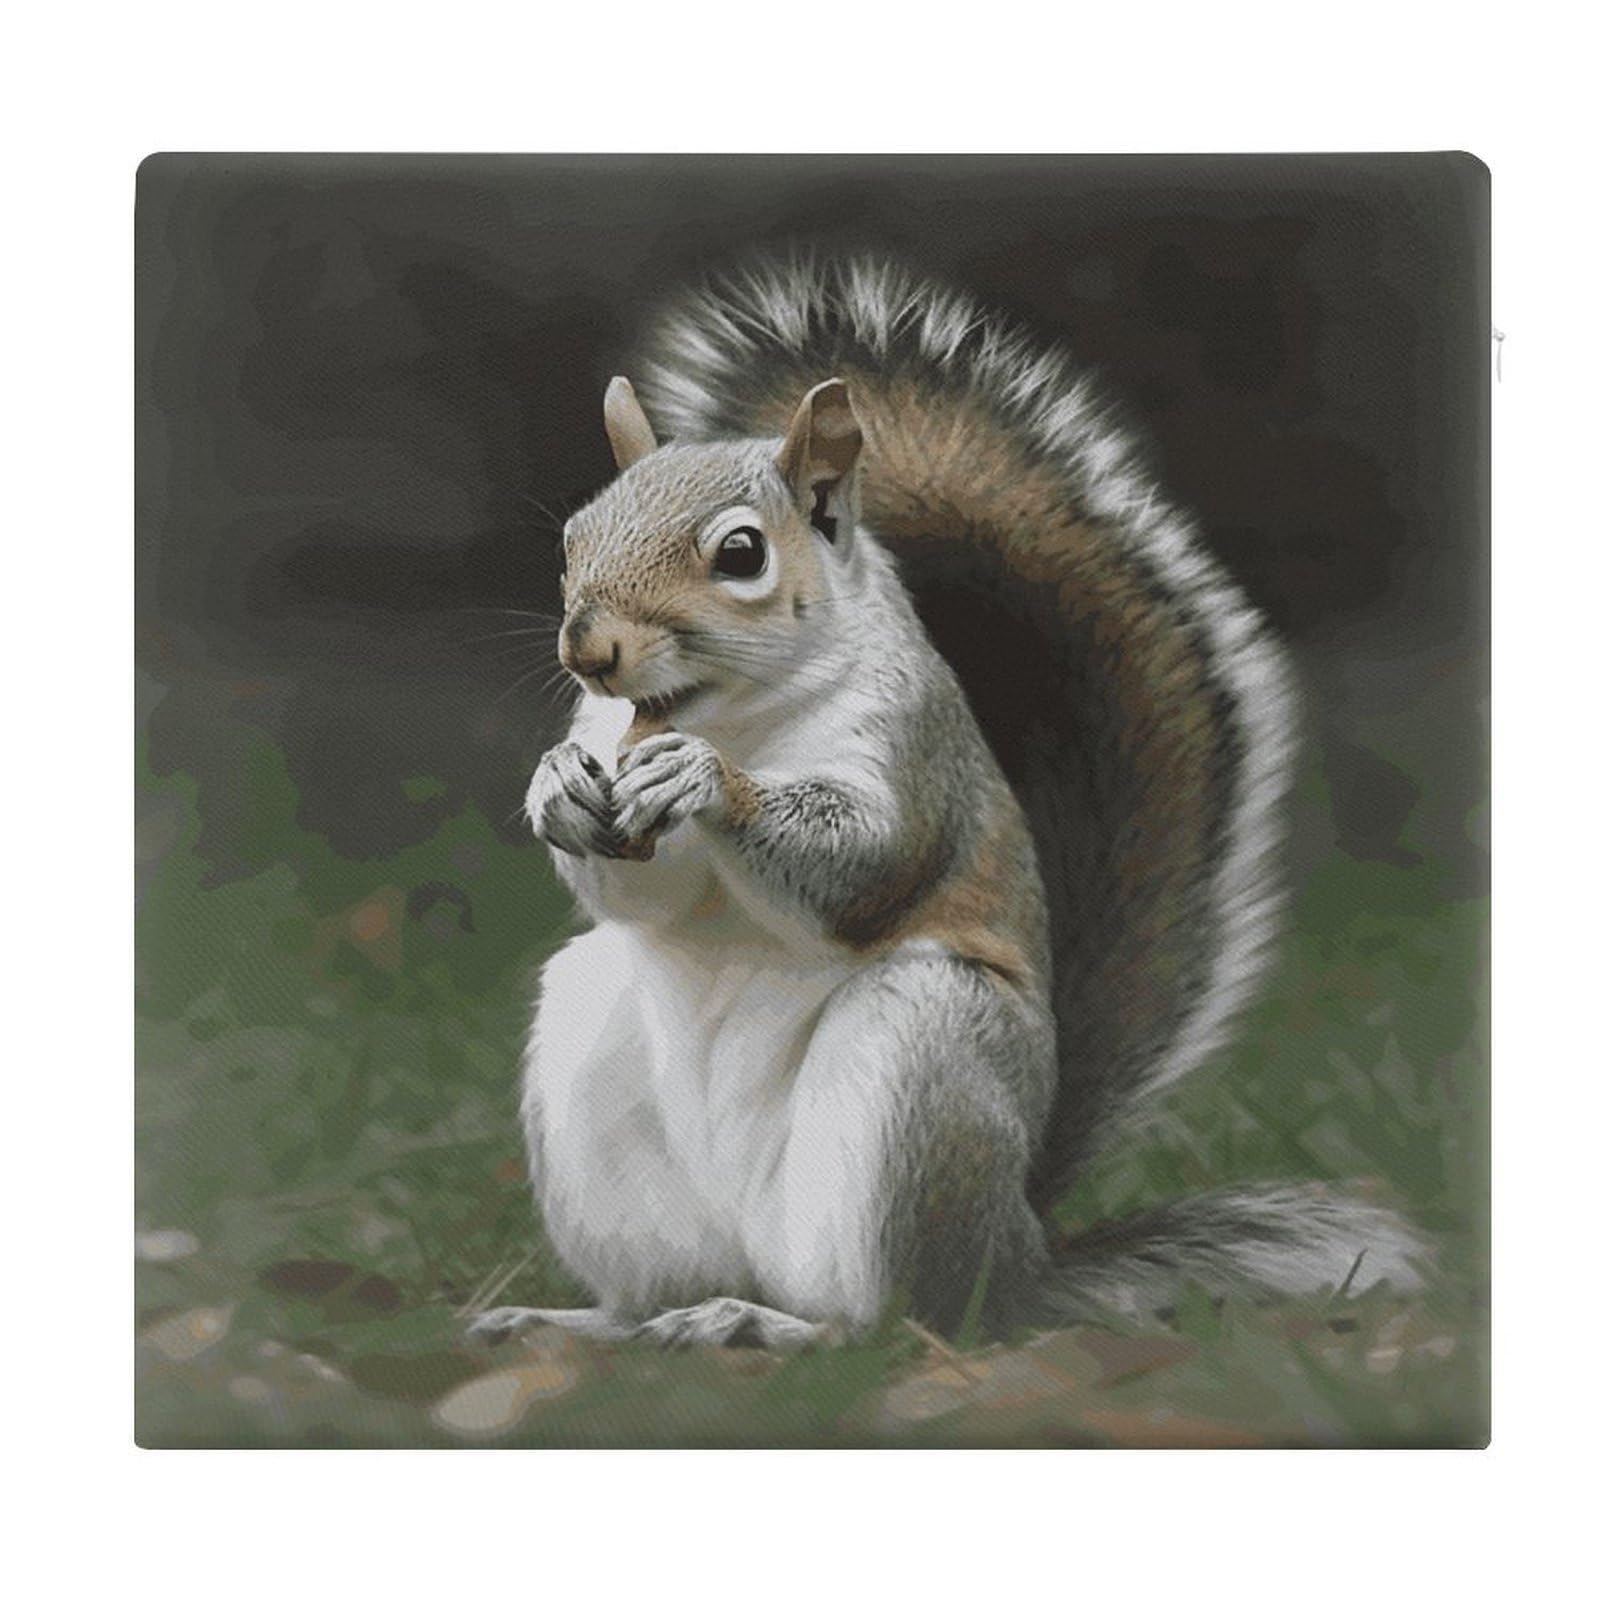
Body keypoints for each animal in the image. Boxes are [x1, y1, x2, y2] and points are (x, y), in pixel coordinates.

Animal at [469, 255, 1425, 1350]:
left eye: (741, 554)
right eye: (572, 538)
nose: (590, 649)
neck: (739, 716)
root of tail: (1019, 1255)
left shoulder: (911, 755)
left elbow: (866, 866)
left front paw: (705, 781)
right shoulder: (612, 747)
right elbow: (636, 891)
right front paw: (556, 786)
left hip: (922, 1066)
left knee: (895, 1322)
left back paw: (771, 1326)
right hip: (600, 1073)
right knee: (656, 1292)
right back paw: (588, 1322)